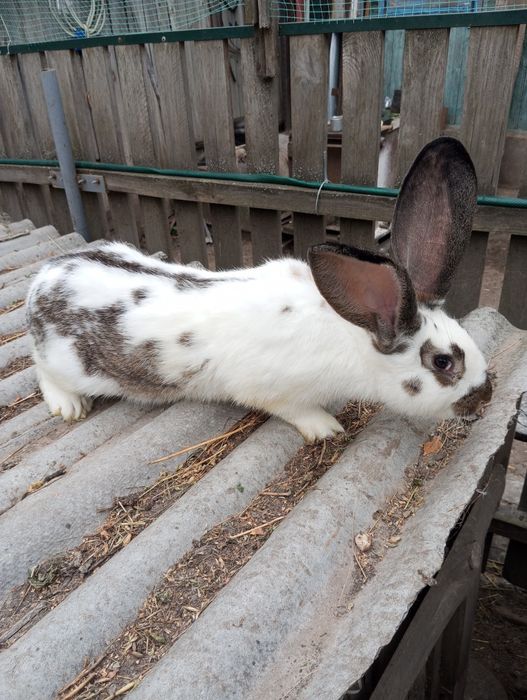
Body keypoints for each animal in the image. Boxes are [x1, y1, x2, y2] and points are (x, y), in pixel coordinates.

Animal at [26, 137, 492, 442]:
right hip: (69, 365)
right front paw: (326, 427)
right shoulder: (268, 388)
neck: (351, 337)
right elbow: (291, 409)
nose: (484, 398)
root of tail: (43, 279)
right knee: (42, 372)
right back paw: (69, 407)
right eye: (443, 362)